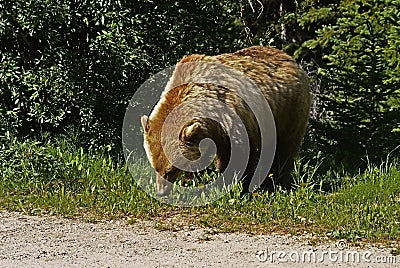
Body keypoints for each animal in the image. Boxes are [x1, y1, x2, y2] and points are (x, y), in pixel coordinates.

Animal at [141, 45, 312, 197]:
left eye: (171, 170)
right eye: (155, 167)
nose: (161, 192)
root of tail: (289, 57)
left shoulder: (233, 120)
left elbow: (237, 156)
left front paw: (235, 185)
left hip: (290, 109)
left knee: (287, 147)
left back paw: (279, 181)